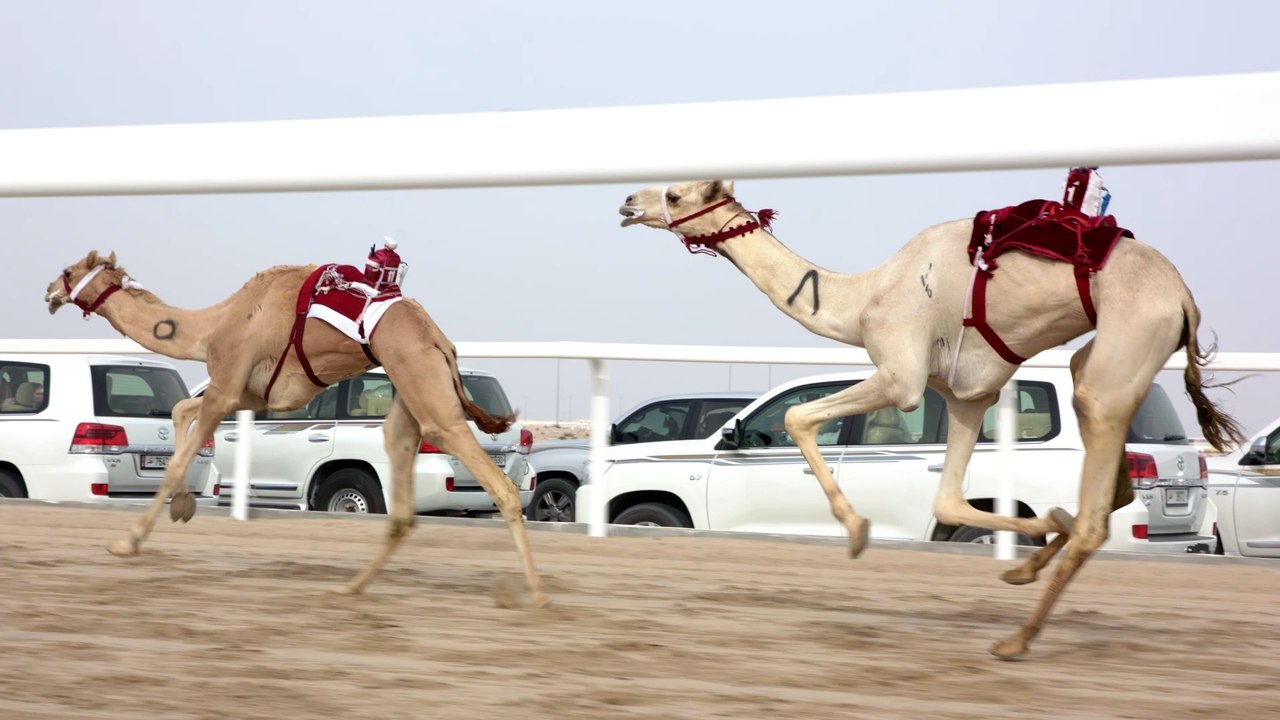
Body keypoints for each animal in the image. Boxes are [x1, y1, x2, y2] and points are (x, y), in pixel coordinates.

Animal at [44, 249, 547, 607]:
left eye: (68, 270)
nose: (48, 291)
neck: (214, 326)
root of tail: (443, 343)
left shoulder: (228, 385)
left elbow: (175, 459)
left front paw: (126, 543)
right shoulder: (249, 394)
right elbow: (183, 410)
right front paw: (184, 506)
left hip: (424, 386)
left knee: (499, 485)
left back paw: (535, 594)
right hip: (409, 391)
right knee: (402, 502)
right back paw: (351, 588)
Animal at [618, 178, 1244, 658]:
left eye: (674, 193)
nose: (627, 202)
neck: (862, 299)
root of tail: (1185, 300)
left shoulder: (902, 376)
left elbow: (797, 416)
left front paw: (857, 531)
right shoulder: (967, 395)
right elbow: (946, 501)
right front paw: (1034, 538)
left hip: (1127, 341)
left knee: (1094, 506)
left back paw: (1016, 640)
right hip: (1113, 360)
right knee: (1110, 484)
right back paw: (1030, 564)